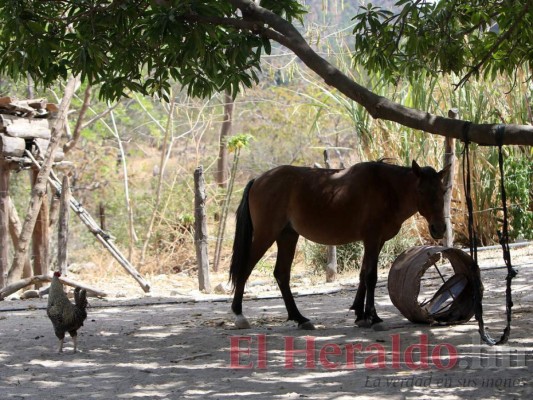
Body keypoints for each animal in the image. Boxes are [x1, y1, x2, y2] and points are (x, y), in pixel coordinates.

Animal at [230, 161, 448, 330]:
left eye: (443, 191)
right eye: (421, 190)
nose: (439, 229)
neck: (386, 188)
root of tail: (259, 179)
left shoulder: (377, 242)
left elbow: (363, 274)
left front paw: (360, 315)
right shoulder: (372, 239)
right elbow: (371, 276)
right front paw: (374, 317)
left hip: (287, 236)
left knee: (281, 274)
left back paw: (300, 318)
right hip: (266, 235)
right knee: (246, 269)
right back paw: (239, 315)